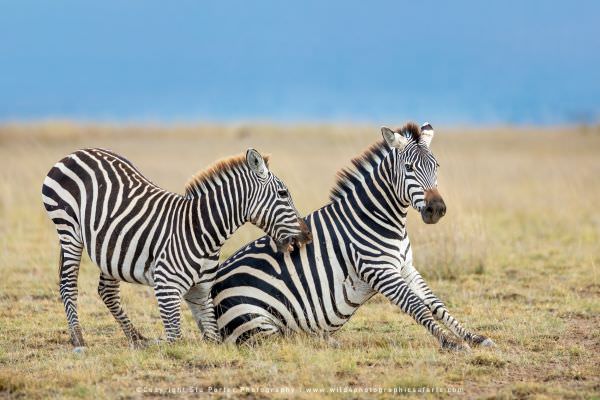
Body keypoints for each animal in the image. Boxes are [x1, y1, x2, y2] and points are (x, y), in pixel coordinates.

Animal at [41, 146, 312, 346]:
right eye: (283, 194)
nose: (307, 236)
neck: (202, 230)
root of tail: (77, 152)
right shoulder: (166, 287)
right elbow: (175, 340)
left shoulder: (201, 291)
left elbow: (213, 338)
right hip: (68, 230)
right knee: (68, 284)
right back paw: (78, 339)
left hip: (109, 248)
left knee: (107, 291)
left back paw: (136, 338)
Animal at [210, 122, 492, 350]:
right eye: (409, 168)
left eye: (437, 166)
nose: (437, 209)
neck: (380, 218)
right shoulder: (380, 270)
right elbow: (417, 306)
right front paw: (450, 342)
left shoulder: (405, 266)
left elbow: (436, 304)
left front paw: (474, 337)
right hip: (257, 319)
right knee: (284, 339)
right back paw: (321, 340)